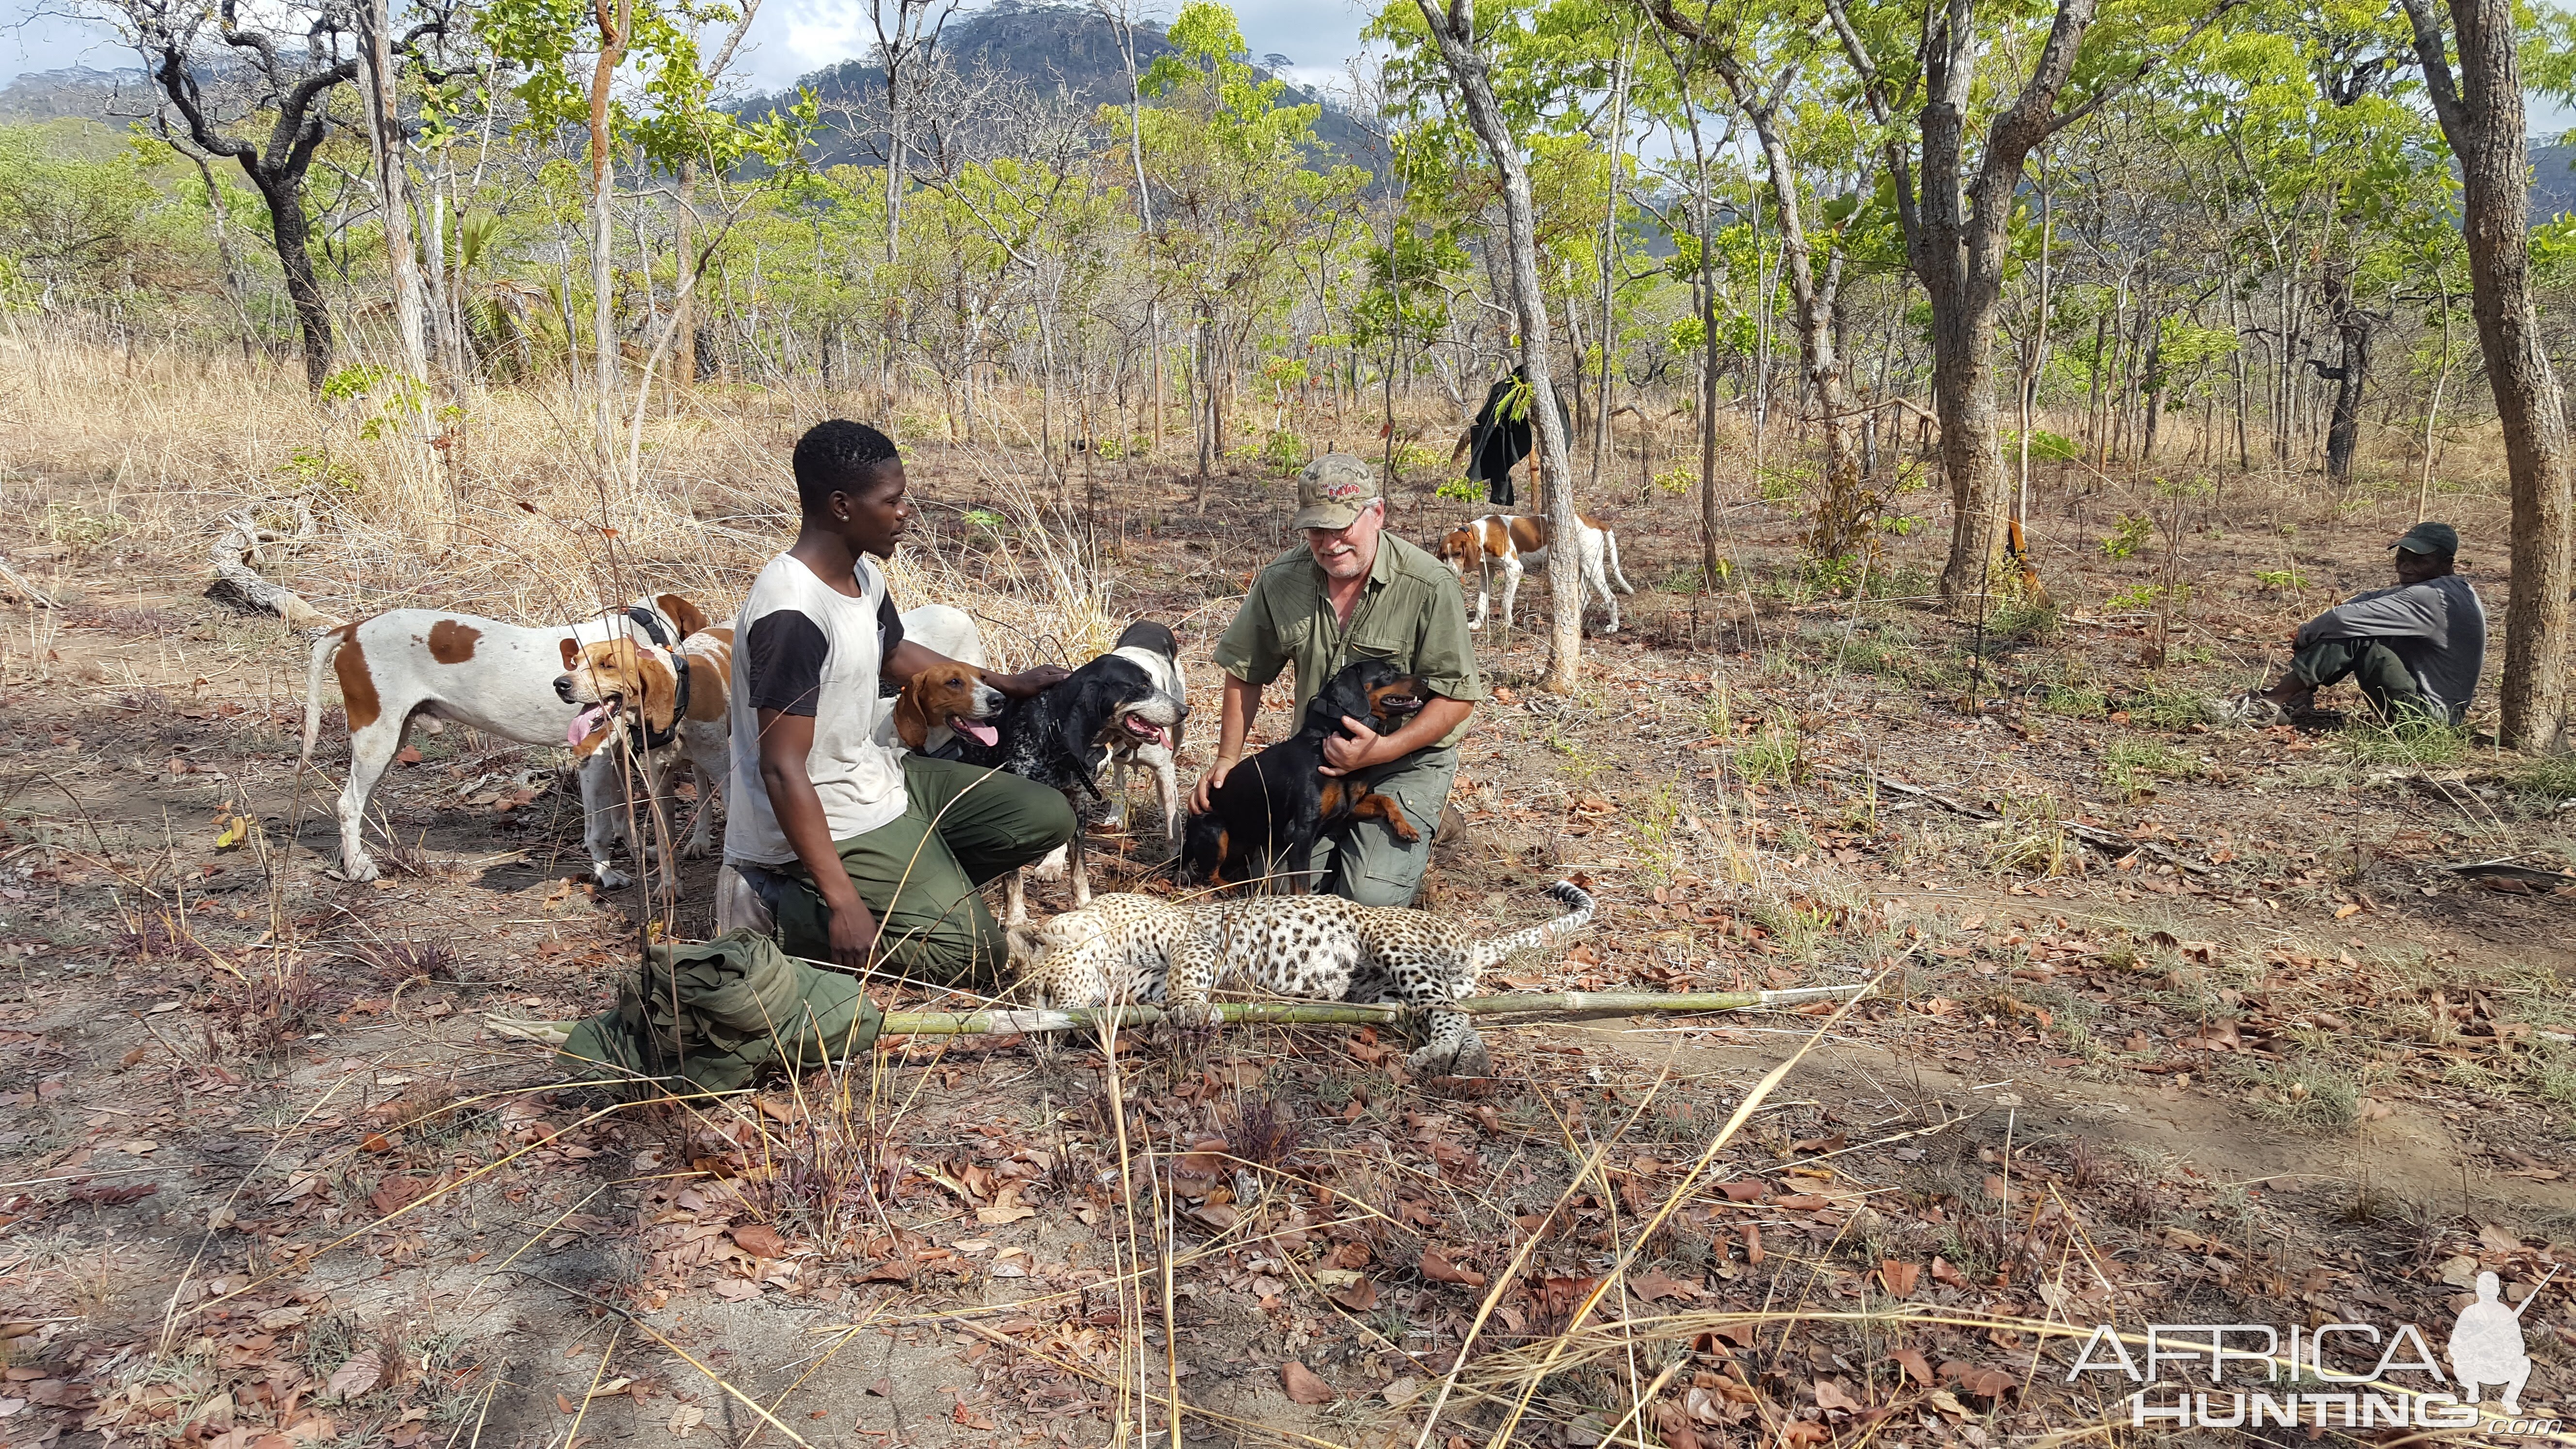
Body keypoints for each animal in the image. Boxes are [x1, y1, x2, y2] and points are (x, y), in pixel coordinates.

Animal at [1179, 657, 1432, 886]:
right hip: (1217, 832)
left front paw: (1405, 827)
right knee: (1208, 876)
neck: (1322, 743)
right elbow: (1301, 885)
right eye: (1388, 673)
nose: (1428, 680)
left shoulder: (1349, 807)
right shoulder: (1300, 833)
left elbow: (1386, 799)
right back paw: (1229, 889)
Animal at [1432, 513, 1628, 637]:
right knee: (1585, 598)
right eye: (1444, 555)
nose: (1450, 571)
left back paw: (1614, 626)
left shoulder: (1514, 569)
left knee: (1611, 598)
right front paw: (1477, 624)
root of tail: (1594, 521)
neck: (1484, 533)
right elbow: (1481, 603)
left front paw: (1506, 625)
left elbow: (1506, 600)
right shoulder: (1486, 574)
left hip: (1591, 567)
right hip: (1578, 567)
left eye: (1458, 553)